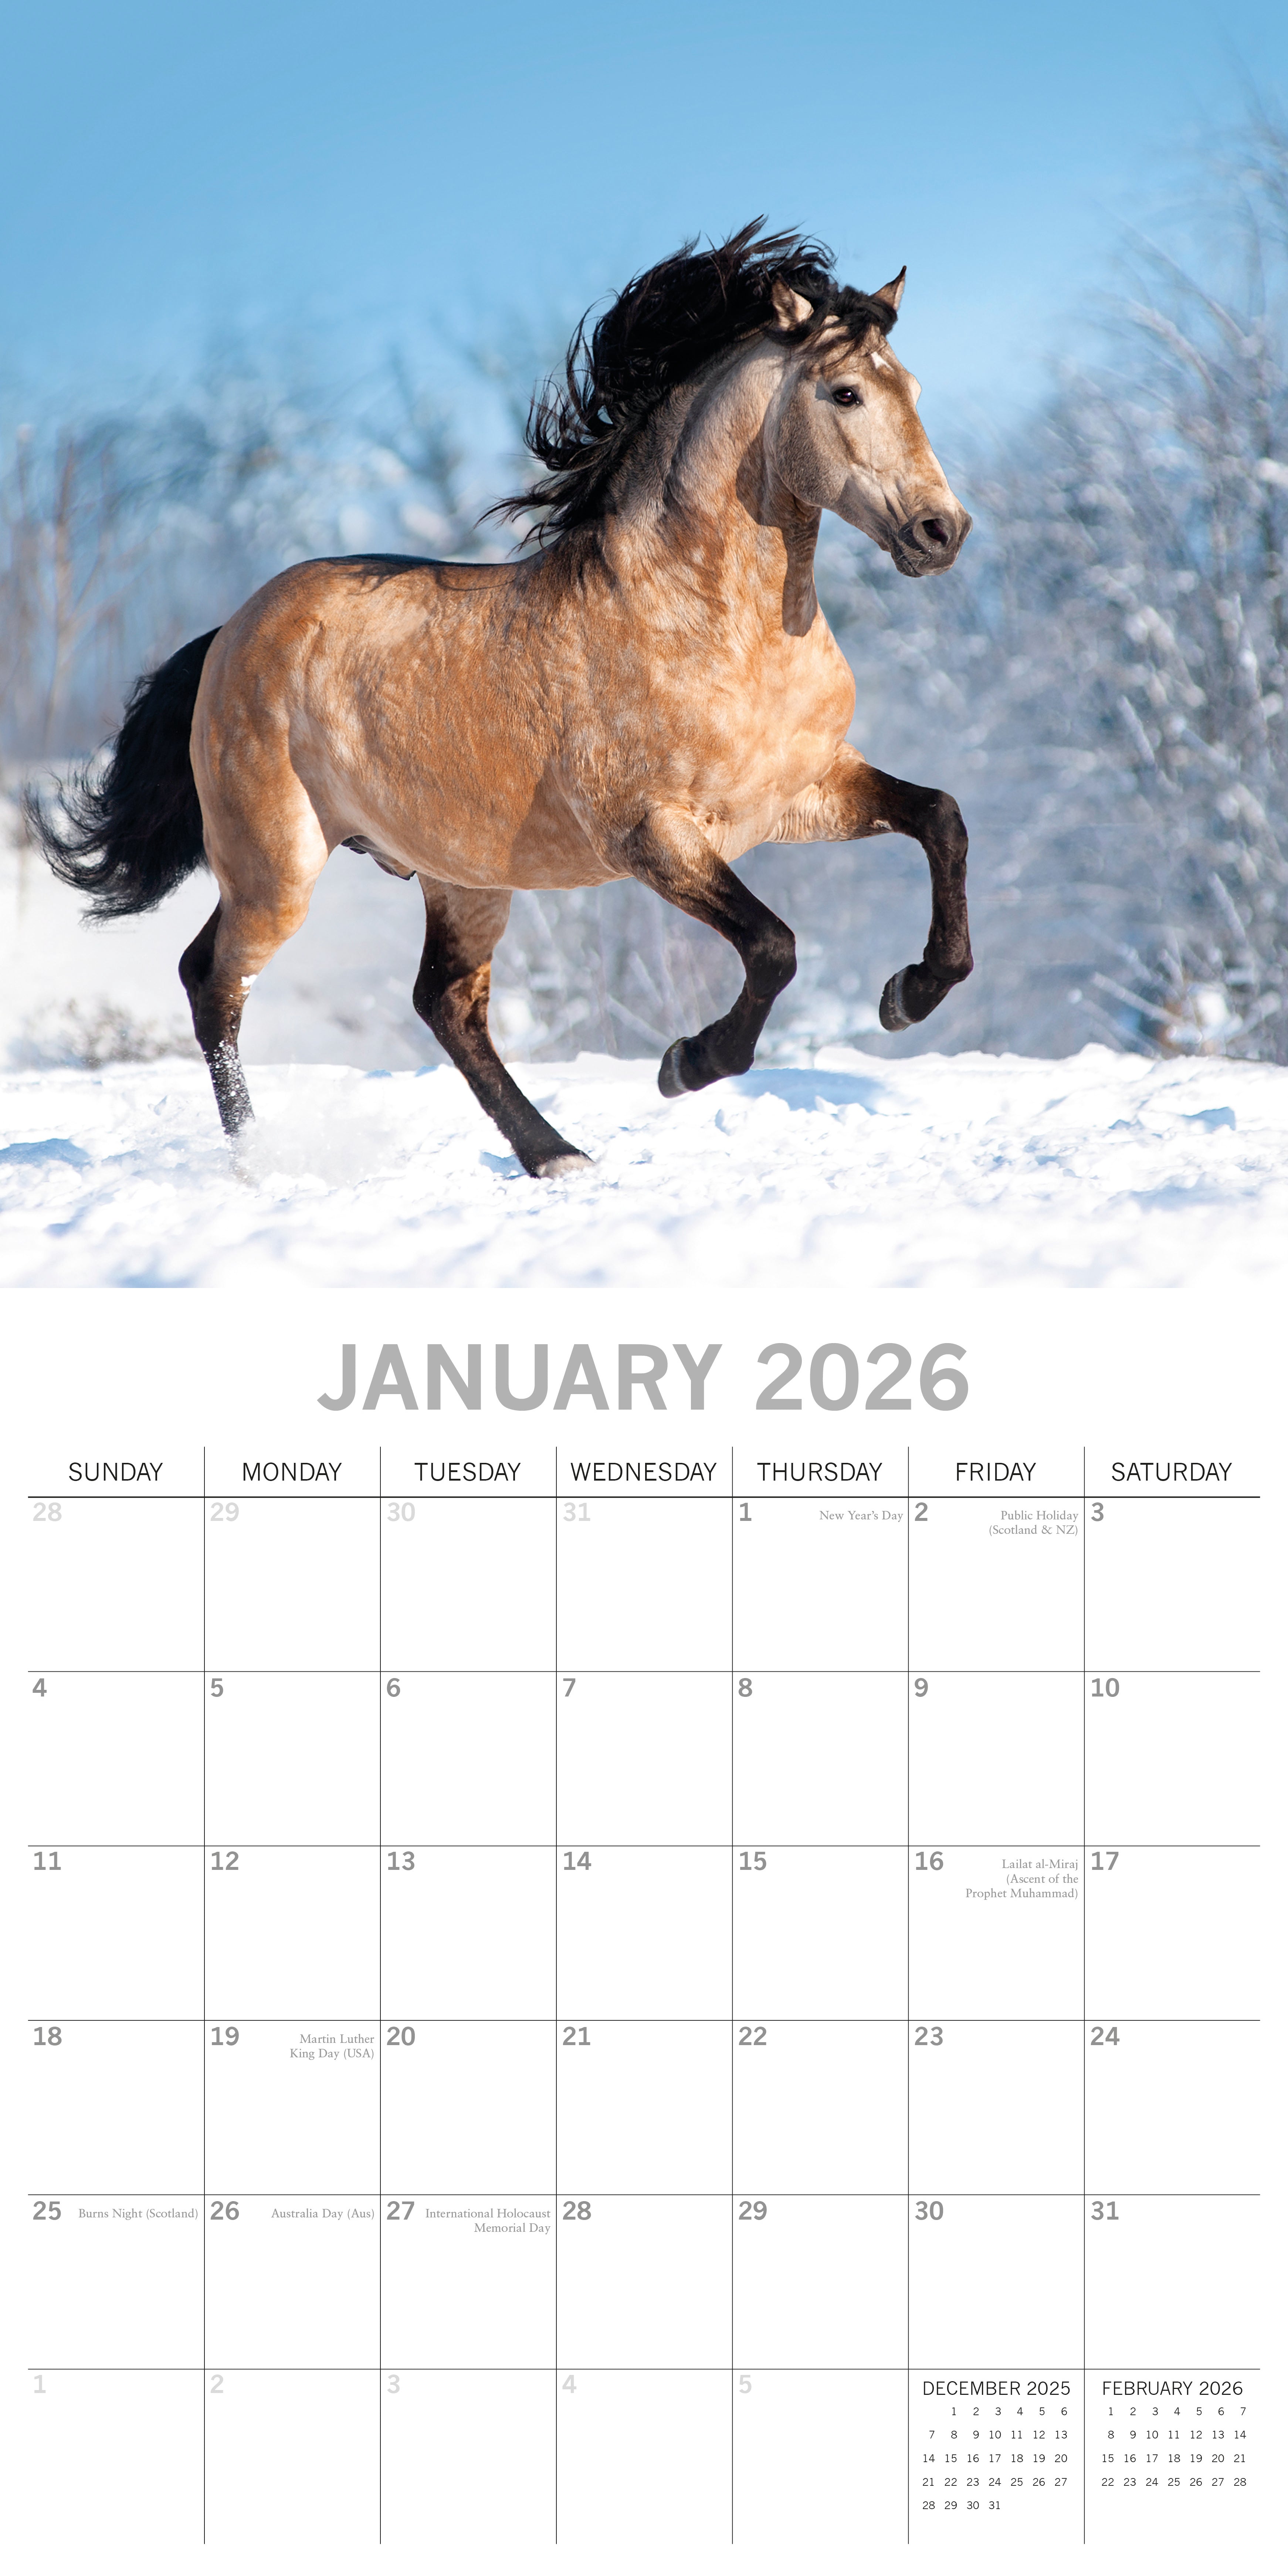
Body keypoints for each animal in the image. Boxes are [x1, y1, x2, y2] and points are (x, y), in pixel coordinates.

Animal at [31, 222, 974, 1178]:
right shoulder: (650, 834)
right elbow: (774, 946)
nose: (941, 532)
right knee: (213, 981)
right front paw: (685, 1063)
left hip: (460, 877)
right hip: (278, 865)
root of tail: (232, 630)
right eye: (846, 393)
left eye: (913, 389)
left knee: (443, 1002)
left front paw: (909, 994)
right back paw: (260, 1161)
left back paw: (556, 1155)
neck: (707, 621)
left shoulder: (799, 792)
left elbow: (940, 817)